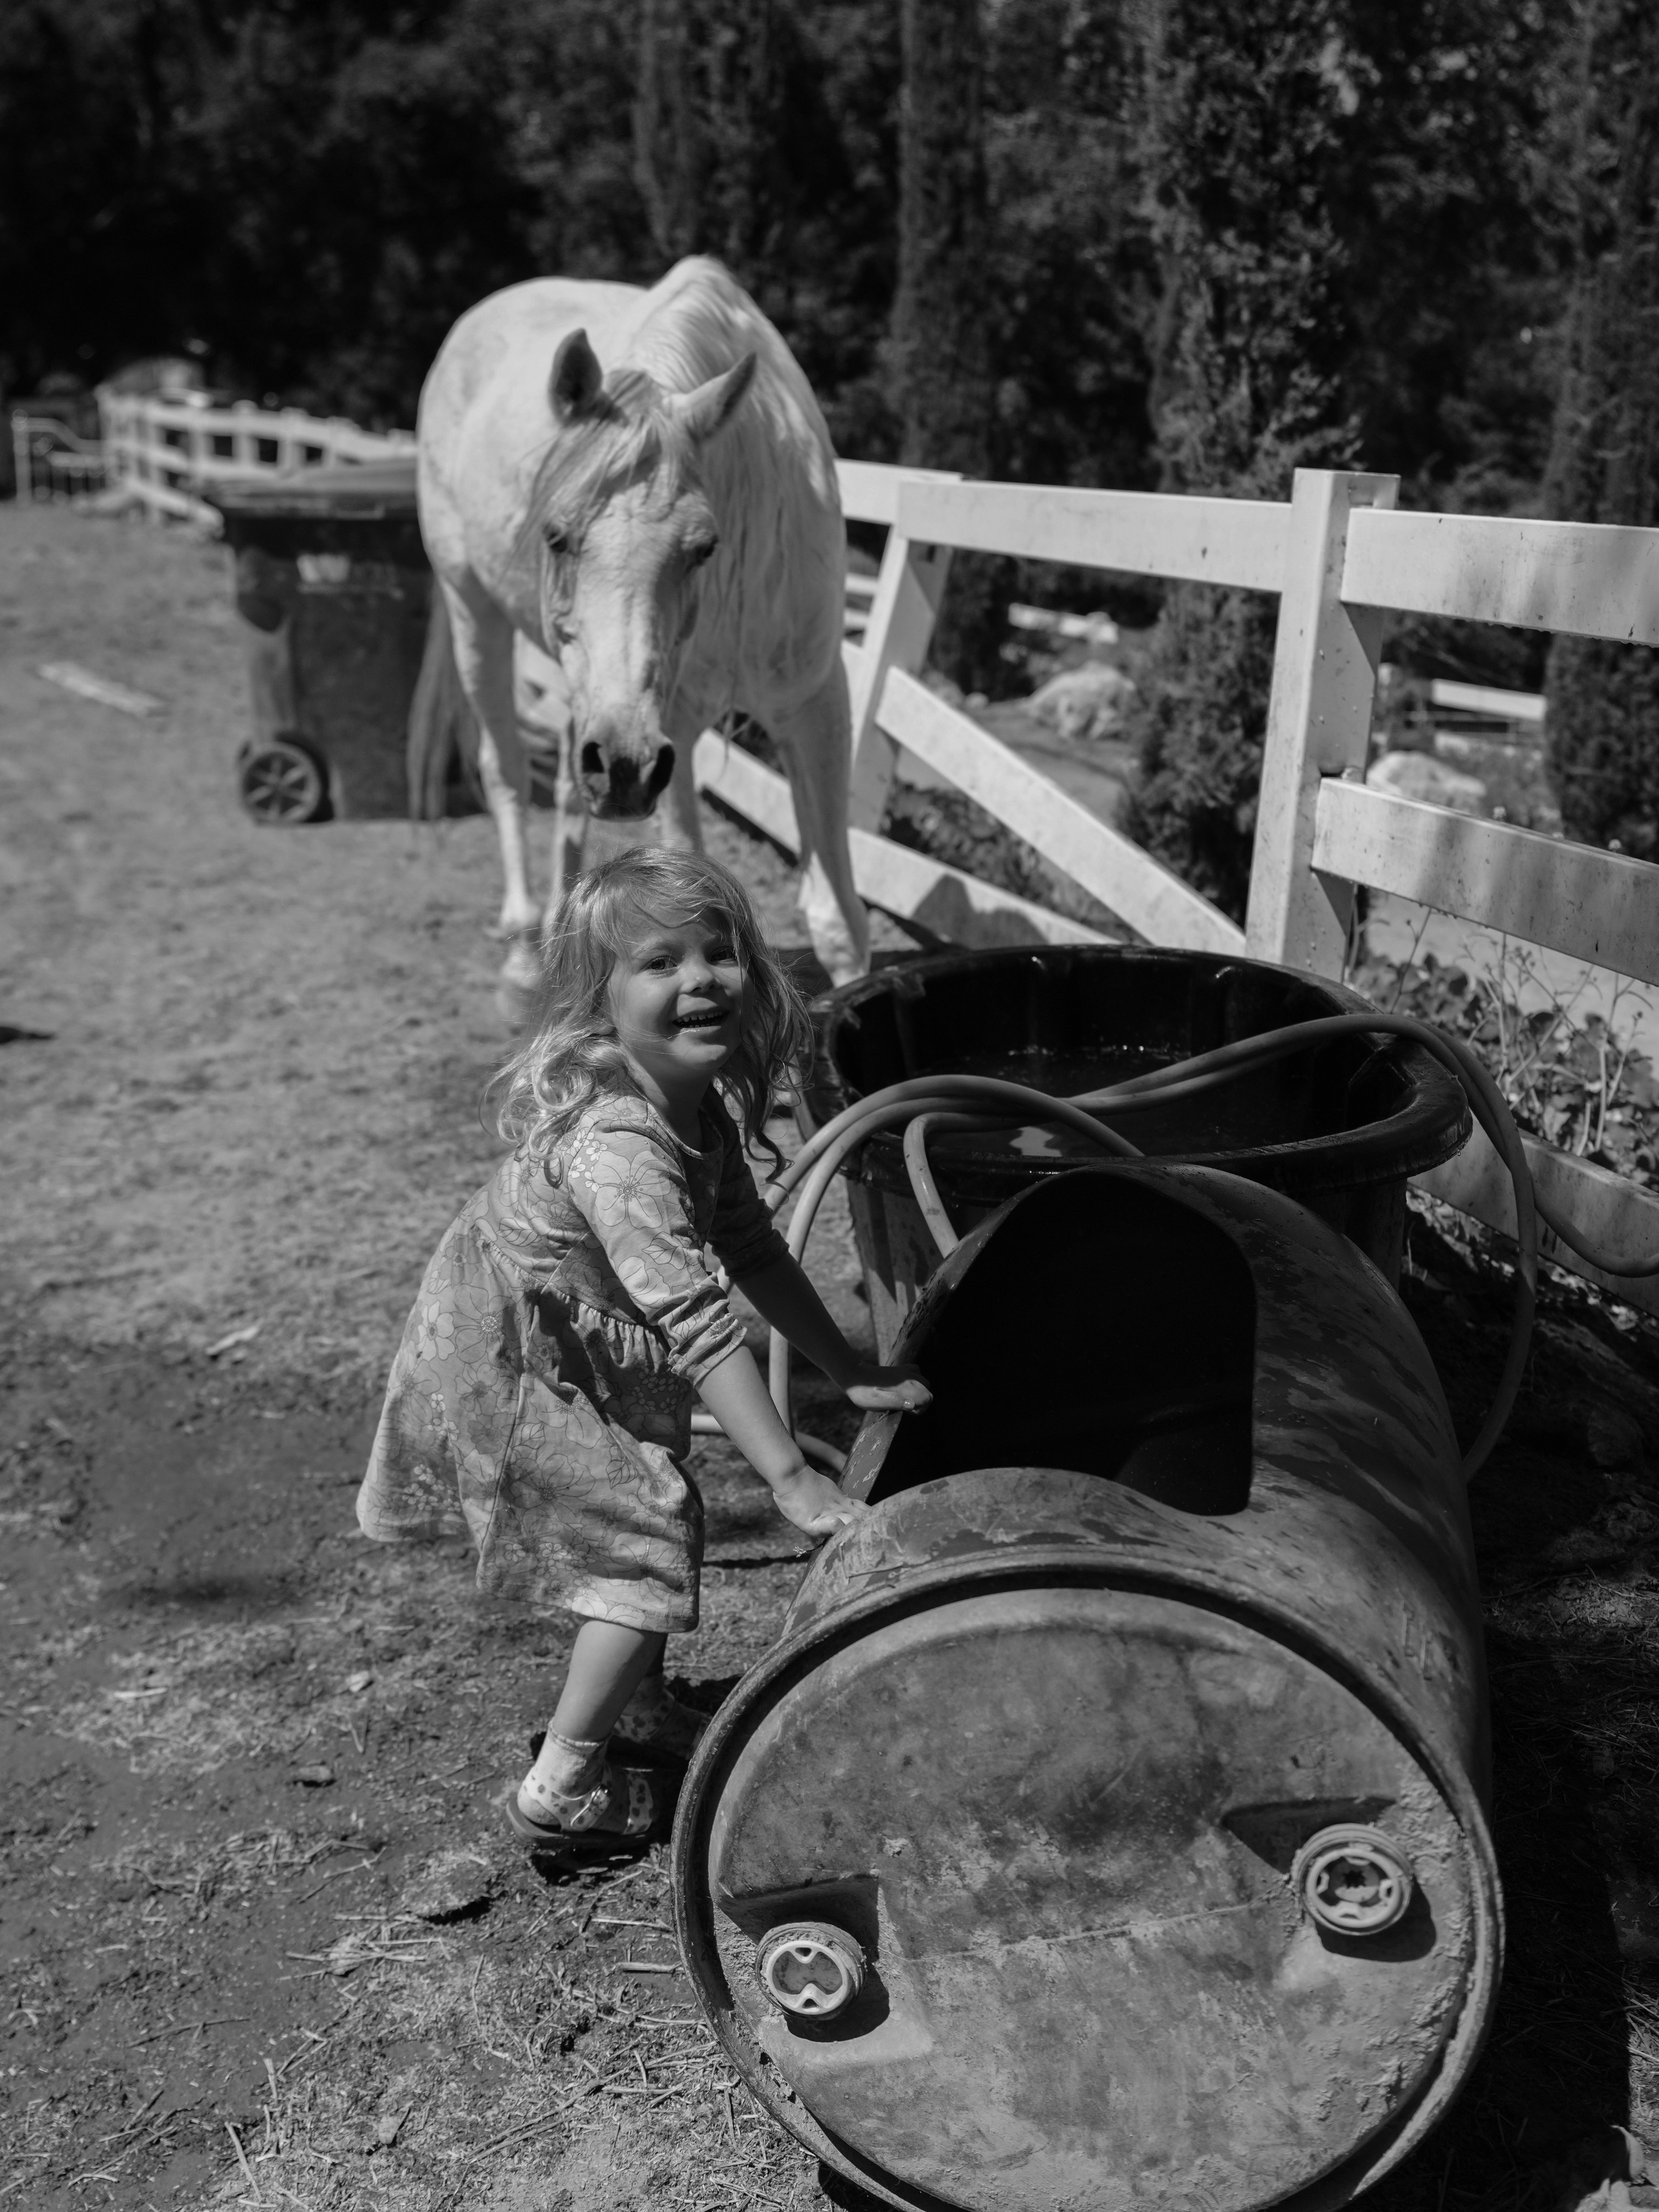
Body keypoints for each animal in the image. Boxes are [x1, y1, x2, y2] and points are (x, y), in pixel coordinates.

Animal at [416, 256, 869, 1011]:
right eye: (556, 535)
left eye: (703, 546)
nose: (626, 765)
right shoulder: (673, 728)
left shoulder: (813, 704)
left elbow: (840, 920)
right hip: (472, 612)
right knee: (504, 768)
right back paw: (522, 956)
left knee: (568, 791)